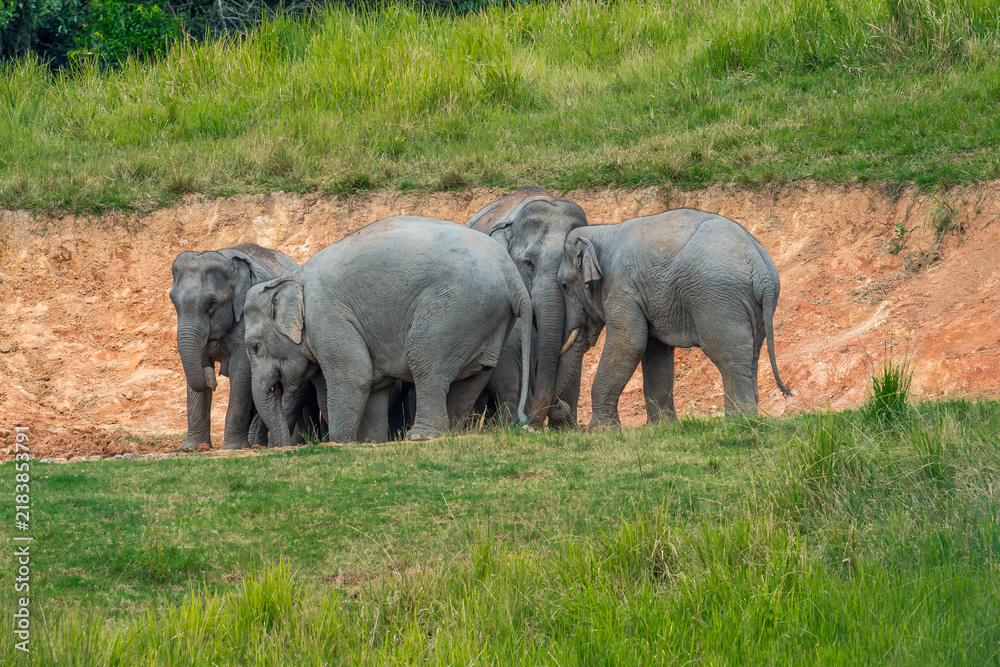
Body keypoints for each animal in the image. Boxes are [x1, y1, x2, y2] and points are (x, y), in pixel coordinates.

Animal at [169, 243, 299, 451]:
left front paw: (231, 448)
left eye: (211, 303)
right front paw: (193, 448)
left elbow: (242, 370)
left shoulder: (247, 317)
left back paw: (256, 445)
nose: (211, 378)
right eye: (173, 302)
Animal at [243, 216, 533, 447]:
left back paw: (420, 437)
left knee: (425, 363)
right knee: (474, 375)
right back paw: (453, 433)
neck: (293, 276)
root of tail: (512, 276)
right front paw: (370, 442)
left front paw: (340, 443)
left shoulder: (327, 317)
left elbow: (356, 376)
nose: (277, 447)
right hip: (486, 320)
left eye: (255, 347)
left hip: (456, 308)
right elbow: (375, 384)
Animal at [558, 208, 792, 428]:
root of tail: (760, 269)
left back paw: (739, 422)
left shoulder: (622, 288)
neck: (600, 231)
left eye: (564, 286)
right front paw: (662, 428)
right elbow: (655, 351)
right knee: (751, 356)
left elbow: (629, 345)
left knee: (729, 357)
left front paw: (600, 431)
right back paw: (750, 418)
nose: (559, 406)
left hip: (718, 299)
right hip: (755, 307)